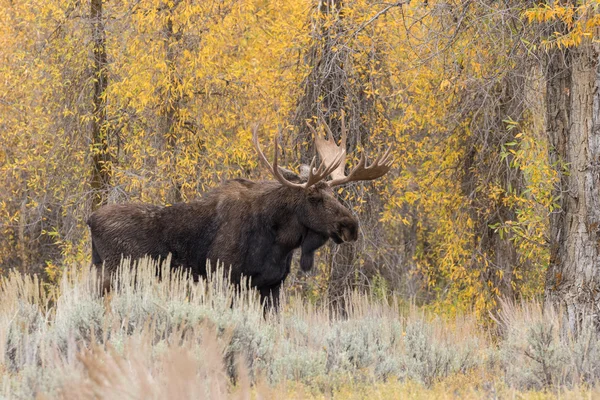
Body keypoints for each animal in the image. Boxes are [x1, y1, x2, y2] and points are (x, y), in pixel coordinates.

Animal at [86, 119, 392, 310]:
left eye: (334, 195)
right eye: (314, 198)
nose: (351, 226)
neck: (280, 242)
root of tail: (90, 220)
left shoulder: (272, 286)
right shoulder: (224, 277)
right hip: (116, 275)